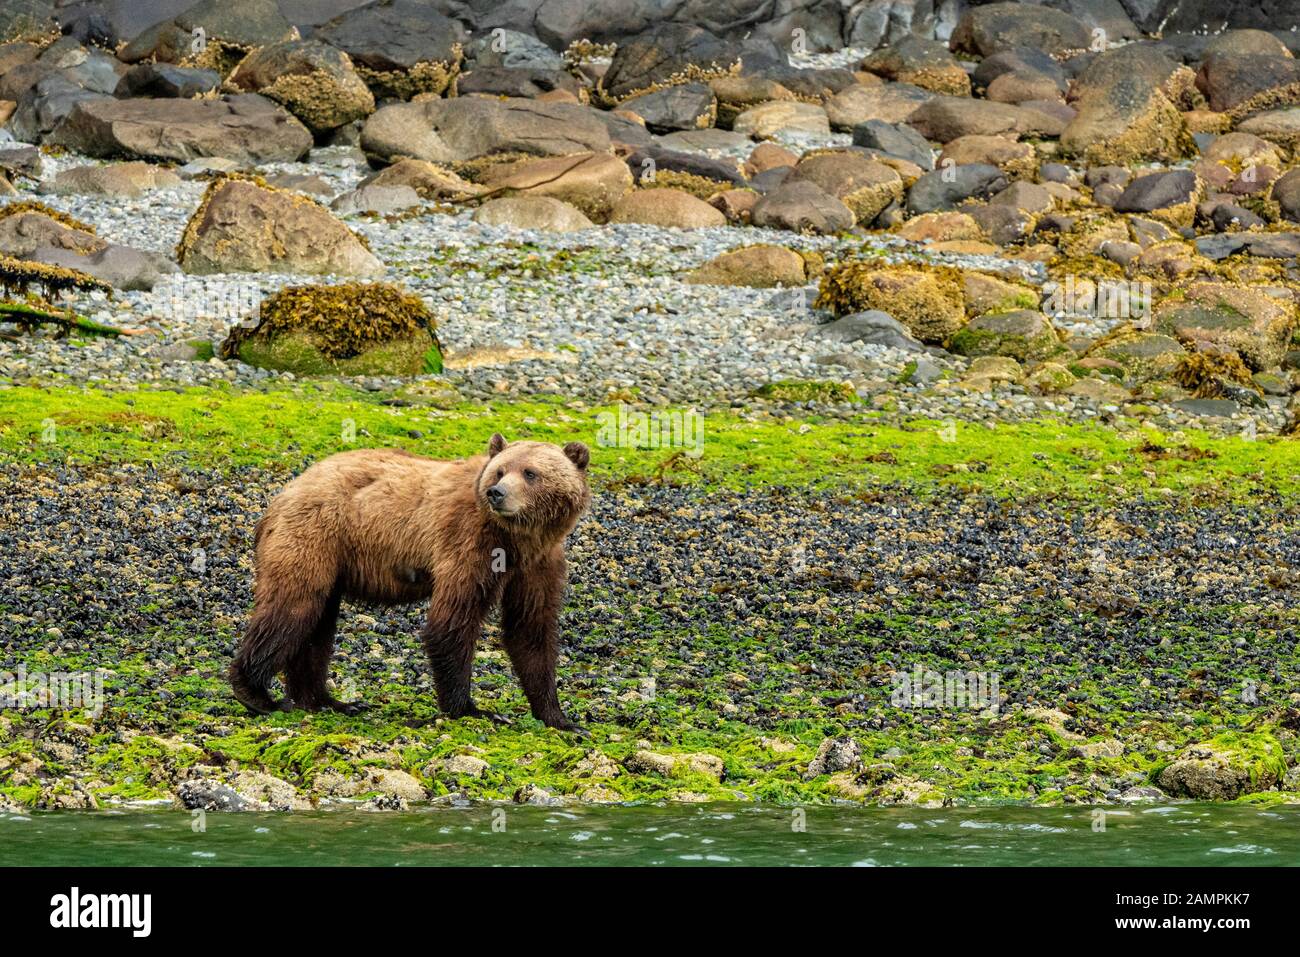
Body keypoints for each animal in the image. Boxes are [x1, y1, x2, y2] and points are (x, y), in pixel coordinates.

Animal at [231, 434, 592, 733]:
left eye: (530, 473)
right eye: (500, 471)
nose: (497, 493)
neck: (518, 537)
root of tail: (281, 496)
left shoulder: (539, 563)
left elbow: (531, 630)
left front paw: (561, 718)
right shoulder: (469, 543)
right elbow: (452, 623)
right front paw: (471, 709)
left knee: (317, 624)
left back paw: (328, 701)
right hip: (314, 535)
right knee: (292, 607)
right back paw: (257, 694)